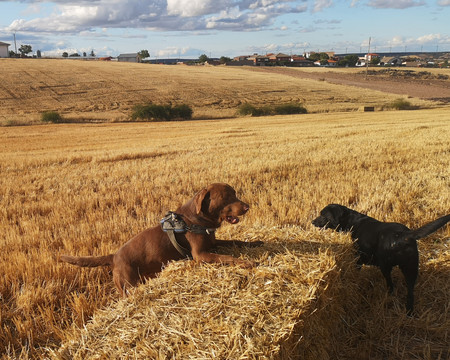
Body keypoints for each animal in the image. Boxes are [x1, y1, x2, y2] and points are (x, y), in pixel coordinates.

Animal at [60, 183, 264, 296]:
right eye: (226, 197)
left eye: (235, 193)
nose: (247, 207)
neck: (196, 219)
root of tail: (113, 256)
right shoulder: (200, 254)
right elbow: (226, 258)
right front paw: (246, 262)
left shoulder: (213, 243)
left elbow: (237, 241)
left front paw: (255, 243)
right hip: (128, 285)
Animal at [312, 204, 450, 314]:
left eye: (323, 215)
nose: (312, 222)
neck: (353, 222)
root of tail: (404, 235)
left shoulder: (360, 255)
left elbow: (357, 267)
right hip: (411, 268)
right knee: (410, 293)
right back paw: (409, 312)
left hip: (386, 266)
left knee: (391, 286)